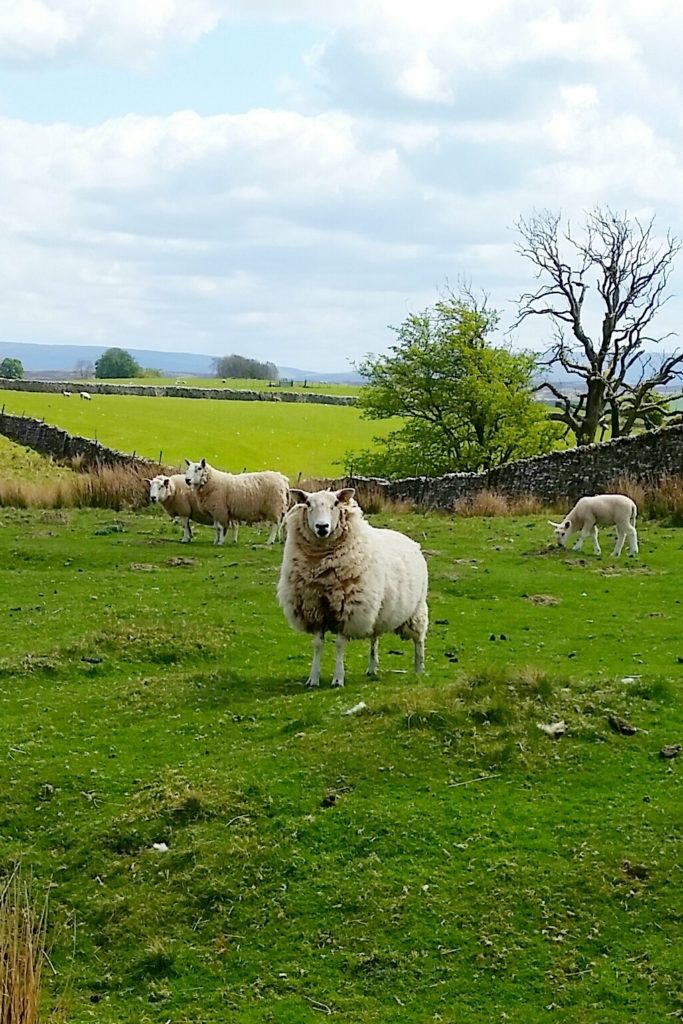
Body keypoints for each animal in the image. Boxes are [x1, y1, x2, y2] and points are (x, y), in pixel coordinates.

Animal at [276, 487, 428, 688]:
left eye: (335, 503)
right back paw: (372, 668)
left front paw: (338, 679)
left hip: (416, 609)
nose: (322, 527)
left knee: (419, 639)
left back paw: (419, 669)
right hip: (377, 611)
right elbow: (317, 644)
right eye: (308, 504)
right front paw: (313, 679)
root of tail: (411, 541)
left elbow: (340, 645)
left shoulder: (346, 609)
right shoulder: (315, 608)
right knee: (374, 639)